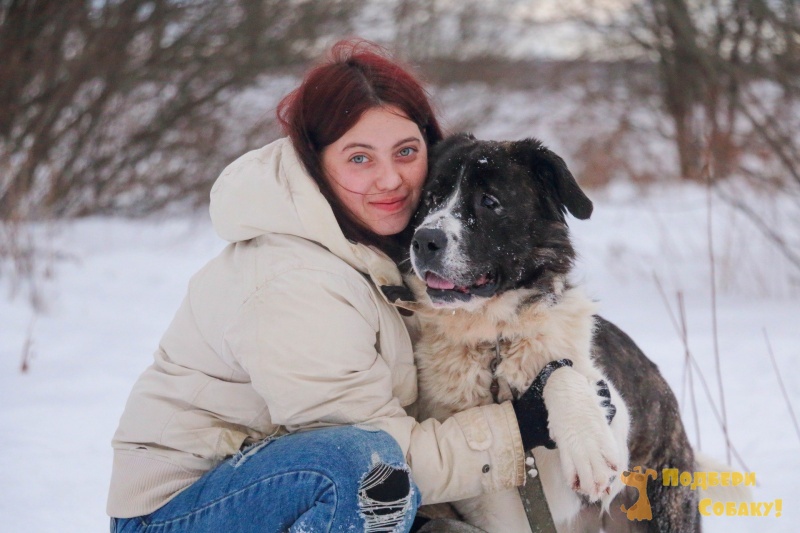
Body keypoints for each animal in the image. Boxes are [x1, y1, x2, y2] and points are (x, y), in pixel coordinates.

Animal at [393, 133, 702, 532]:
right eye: (430, 198)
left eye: (489, 201)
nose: (424, 241)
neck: (495, 342)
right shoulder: (500, 512)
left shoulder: (612, 415)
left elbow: (563, 373)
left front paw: (588, 448)